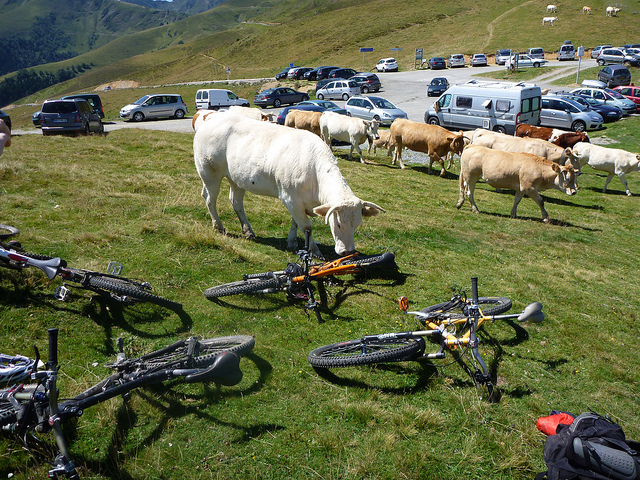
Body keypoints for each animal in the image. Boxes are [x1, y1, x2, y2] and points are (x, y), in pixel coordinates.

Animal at [192, 111, 384, 256]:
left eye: (357, 224)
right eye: (337, 224)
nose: (348, 252)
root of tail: (211, 117)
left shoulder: (298, 202)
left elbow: (295, 222)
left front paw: (291, 242)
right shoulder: (290, 198)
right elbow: (306, 226)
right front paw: (315, 251)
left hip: (237, 178)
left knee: (236, 201)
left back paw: (248, 230)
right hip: (209, 173)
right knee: (209, 198)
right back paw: (218, 226)